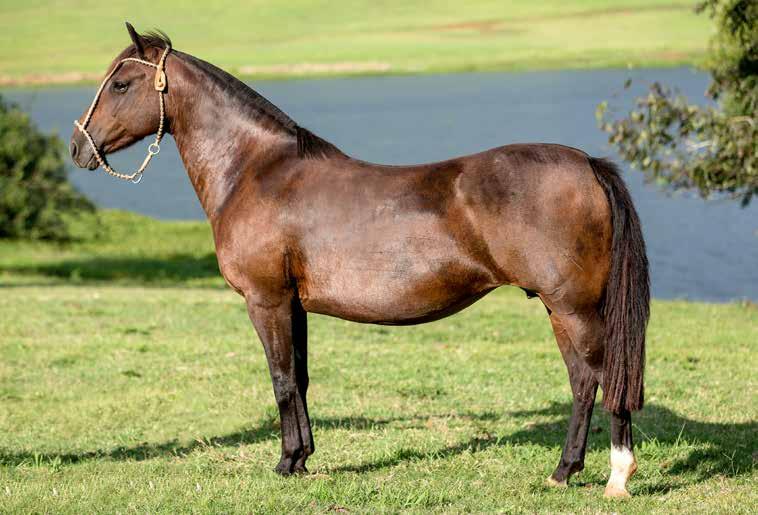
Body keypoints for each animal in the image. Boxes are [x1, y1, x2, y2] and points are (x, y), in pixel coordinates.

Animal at [71, 24, 652, 500]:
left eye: (120, 84)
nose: (79, 148)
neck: (257, 171)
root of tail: (587, 164)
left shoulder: (266, 301)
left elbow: (281, 380)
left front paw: (284, 463)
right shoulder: (294, 305)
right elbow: (301, 378)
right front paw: (302, 459)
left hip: (573, 307)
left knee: (604, 376)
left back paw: (617, 475)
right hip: (559, 309)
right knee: (583, 381)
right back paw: (563, 471)